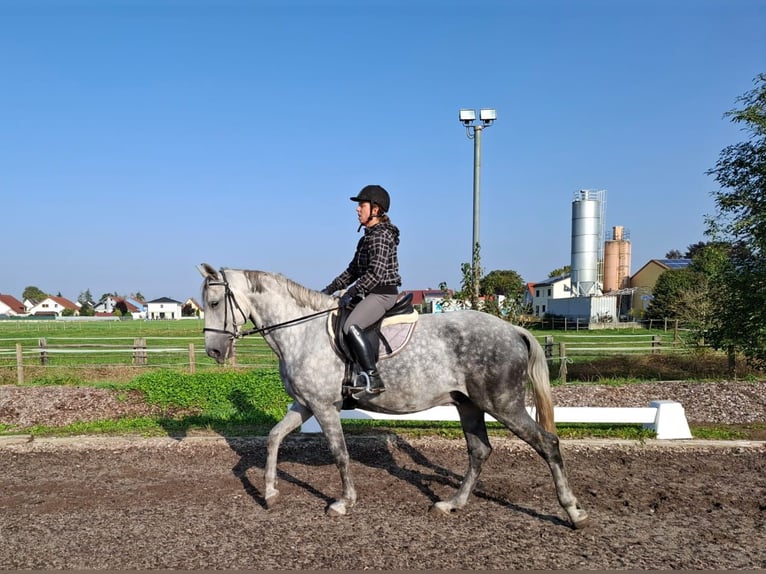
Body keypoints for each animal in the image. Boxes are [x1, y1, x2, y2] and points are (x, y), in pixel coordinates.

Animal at [201, 264, 592, 532]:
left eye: (216, 301)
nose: (214, 352)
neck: (302, 331)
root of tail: (513, 329)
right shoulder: (304, 404)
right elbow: (273, 438)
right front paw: (269, 494)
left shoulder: (324, 407)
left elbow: (340, 454)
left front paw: (343, 503)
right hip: (468, 404)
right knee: (480, 451)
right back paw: (452, 504)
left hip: (503, 404)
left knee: (547, 443)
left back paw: (573, 512)